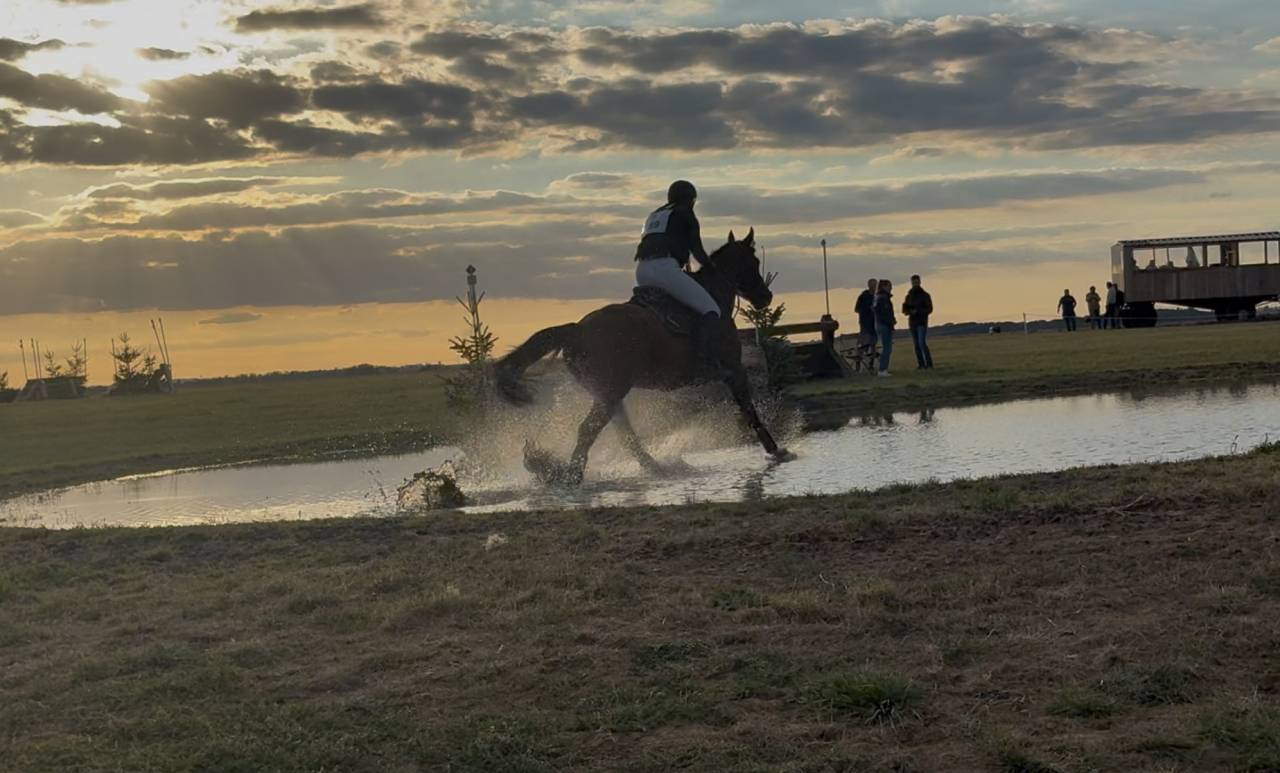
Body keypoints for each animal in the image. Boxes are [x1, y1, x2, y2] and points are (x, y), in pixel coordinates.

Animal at [494, 228, 790, 485]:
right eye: (752, 262)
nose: (765, 297)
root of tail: (578, 330)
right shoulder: (733, 370)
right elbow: (749, 409)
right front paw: (775, 449)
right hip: (612, 390)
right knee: (589, 429)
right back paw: (572, 475)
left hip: (608, 393)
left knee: (623, 434)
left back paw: (651, 467)